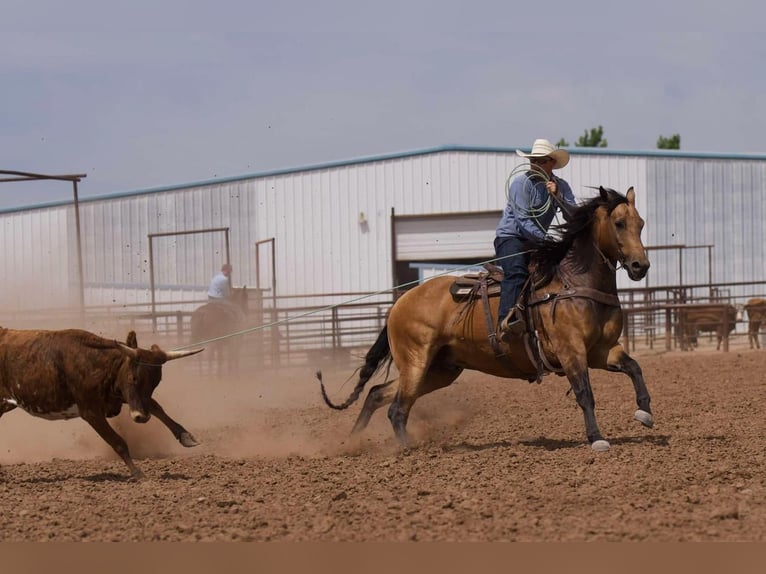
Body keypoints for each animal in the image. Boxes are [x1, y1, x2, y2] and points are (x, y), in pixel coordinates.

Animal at [0, 326, 202, 480]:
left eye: (156, 382)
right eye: (133, 377)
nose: (142, 418)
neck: (96, 364)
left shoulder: (122, 396)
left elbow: (157, 408)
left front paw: (186, 436)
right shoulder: (91, 412)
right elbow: (118, 442)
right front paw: (138, 473)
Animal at [318, 187, 656, 452]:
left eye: (641, 223)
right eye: (619, 223)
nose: (640, 266)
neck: (574, 282)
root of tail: (400, 302)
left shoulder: (601, 350)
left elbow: (634, 367)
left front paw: (645, 412)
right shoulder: (570, 350)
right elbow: (585, 393)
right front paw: (597, 438)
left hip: (439, 370)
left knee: (378, 394)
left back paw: (352, 443)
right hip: (416, 361)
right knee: (397, 409)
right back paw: (407, 450)